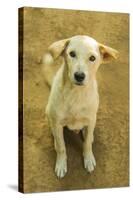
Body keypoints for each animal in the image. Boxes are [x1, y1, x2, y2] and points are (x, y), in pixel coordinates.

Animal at [43, 34, 118, 178]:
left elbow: (87, 144)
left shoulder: (91, 119)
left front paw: (88, 159)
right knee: (56, 135)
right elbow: (61, 147)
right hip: (49, 113)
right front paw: (61, 164)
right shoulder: (58, 122)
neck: (76, 94)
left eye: (92, 58)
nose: (79, 76)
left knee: (88, 133)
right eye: (72, 54)